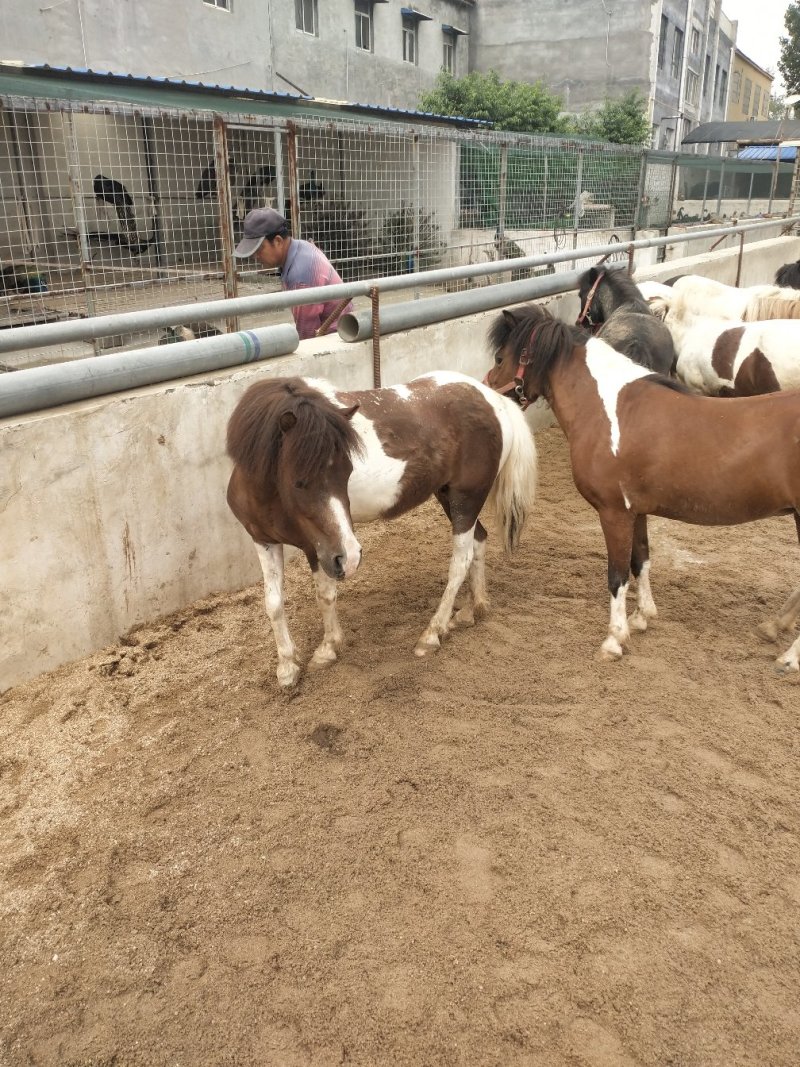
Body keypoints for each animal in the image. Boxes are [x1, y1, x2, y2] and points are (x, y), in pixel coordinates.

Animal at [226, 372, 538, 688]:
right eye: (299, 481)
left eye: (348, 471)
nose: (351, 556)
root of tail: (493, 399)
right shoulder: (264, 541)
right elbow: (273, 603)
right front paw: (287, 667)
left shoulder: (317, 546)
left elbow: (324, 595)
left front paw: (327, 650)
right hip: (448, 497)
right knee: (479, 541)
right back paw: (473, 609)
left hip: (466, 499)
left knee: (460, 563)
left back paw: (432, 634)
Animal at [484, 302, 800, 673]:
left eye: (500, 357)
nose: (489, 391)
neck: (607, 409)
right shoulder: (636, 511)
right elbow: (641, 560)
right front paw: (641, 617)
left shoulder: (613, 512)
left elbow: (617, 575)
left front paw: (614, 640)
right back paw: (773, 626)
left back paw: (790, 658)